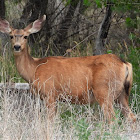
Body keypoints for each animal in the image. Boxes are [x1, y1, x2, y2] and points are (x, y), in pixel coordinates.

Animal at [0, 15, 136, 124]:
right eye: (11, 36)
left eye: (26, 36)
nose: (17, 47)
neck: (34, 69)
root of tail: (125, 64)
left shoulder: (50, 93)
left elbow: (50, 120)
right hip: (122, 94)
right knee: (132, 117)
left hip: (104, 91)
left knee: (112, 119)